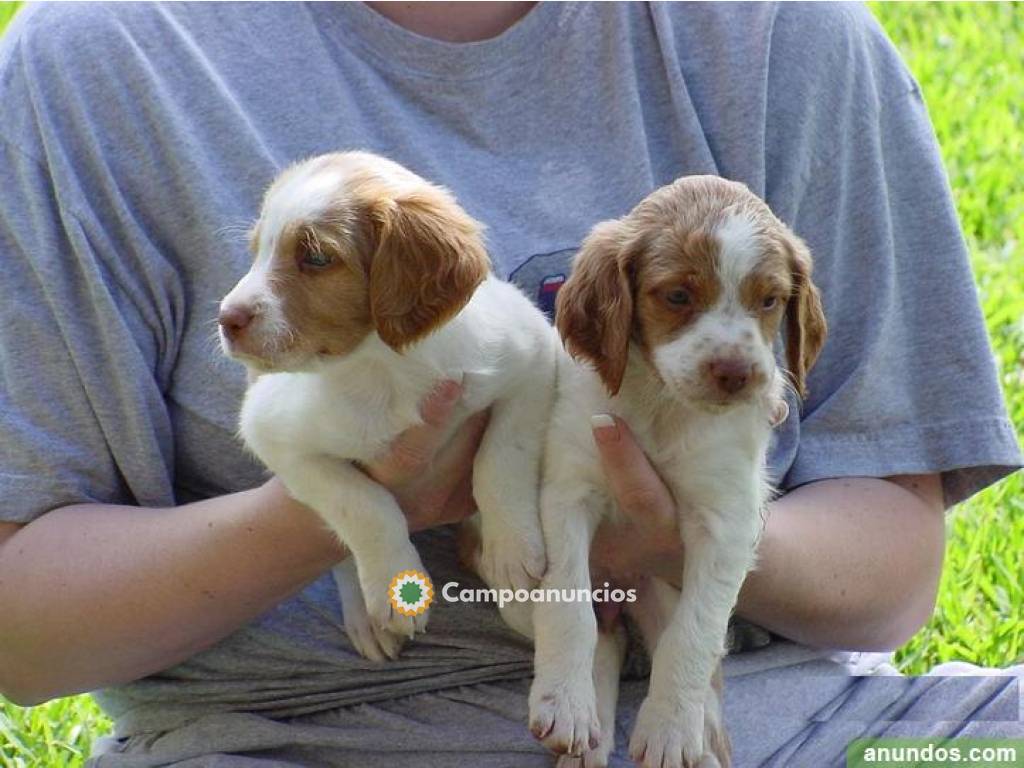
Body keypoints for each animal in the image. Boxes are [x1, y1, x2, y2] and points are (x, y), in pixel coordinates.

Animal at [219, 151, 557, 663]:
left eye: (316, 256)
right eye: (257, 249)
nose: (225, 319)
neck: (386, 368)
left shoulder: (535, 359)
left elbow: (501, 461)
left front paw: (511, 549)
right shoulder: (276, 435)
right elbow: (363, 505)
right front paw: (393, 587)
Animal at [528, 176, 823, 768]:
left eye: (770, 300)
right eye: (678, 296)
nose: (736, 373)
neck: (661, 407)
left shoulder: (725, 522)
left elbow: (694, 631)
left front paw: (671, 728)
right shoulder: (568, 491)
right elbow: (568, 604)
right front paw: (563, 701)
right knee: (604, 638)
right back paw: (585, 734)